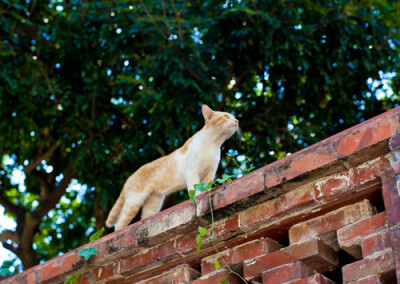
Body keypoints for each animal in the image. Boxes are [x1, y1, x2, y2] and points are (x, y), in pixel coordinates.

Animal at [104, 104, 239, 231]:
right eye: (226, 116)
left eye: (233, 117)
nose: (237, 121)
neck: (213, 143)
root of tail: (130, 177)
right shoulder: (192, 171)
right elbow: (195, 188)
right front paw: (197, 196)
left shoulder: (210, 173)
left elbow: (205, 187)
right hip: (134, 201)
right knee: (119, 223)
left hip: (153, 203)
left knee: (144, 217)